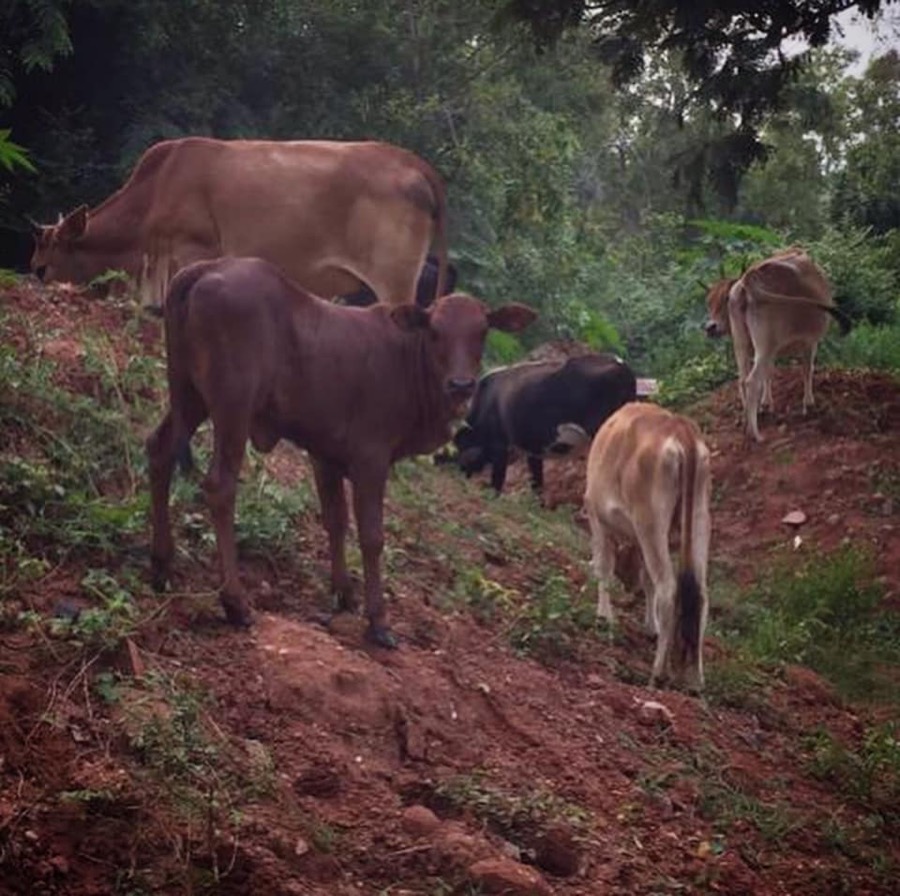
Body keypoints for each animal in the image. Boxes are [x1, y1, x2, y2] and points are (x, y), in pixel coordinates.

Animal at [146, 256, 536, 647]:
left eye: (482, 331)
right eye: (435, 331)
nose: (461, 385)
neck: (408, 360)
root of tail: (206, 267)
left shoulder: (325, 454)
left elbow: (336, 520)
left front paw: (344, 595)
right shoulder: (371, 457)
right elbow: (372, 535)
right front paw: (378, 620)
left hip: (188, 395)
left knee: (159, 451)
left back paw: (161, 565)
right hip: (232, 406)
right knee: (220, 487)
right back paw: (235, 602)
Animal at [452, 353, 637, 494]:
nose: (463, 476)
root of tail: (621, 366)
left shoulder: (500, 444)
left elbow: (498, 478)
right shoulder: (533, 450)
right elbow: (537, 481)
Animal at [583, 402, 711, 691]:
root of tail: (680, 428)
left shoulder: (598, 521)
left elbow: (604, 568)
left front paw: (604, 617)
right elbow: (646, 580)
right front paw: (651, 626)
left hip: (650, 522)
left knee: (667, 588)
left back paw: (658, 672)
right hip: (699, 517)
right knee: (699, 593)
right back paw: (696, 679)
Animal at [704, 248, 851, 442]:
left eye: (723, 300)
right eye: (709, 302)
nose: (710, 327)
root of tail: (748, 279)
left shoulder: (771, 351)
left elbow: (769, 374)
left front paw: (766, 404)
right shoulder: (810, 342)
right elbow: (807, 370)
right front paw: (808, 404)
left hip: (743, 345)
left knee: (742, 379)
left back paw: (746, 422)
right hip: (765, 346)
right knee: (751, 381)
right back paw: (755, 434)